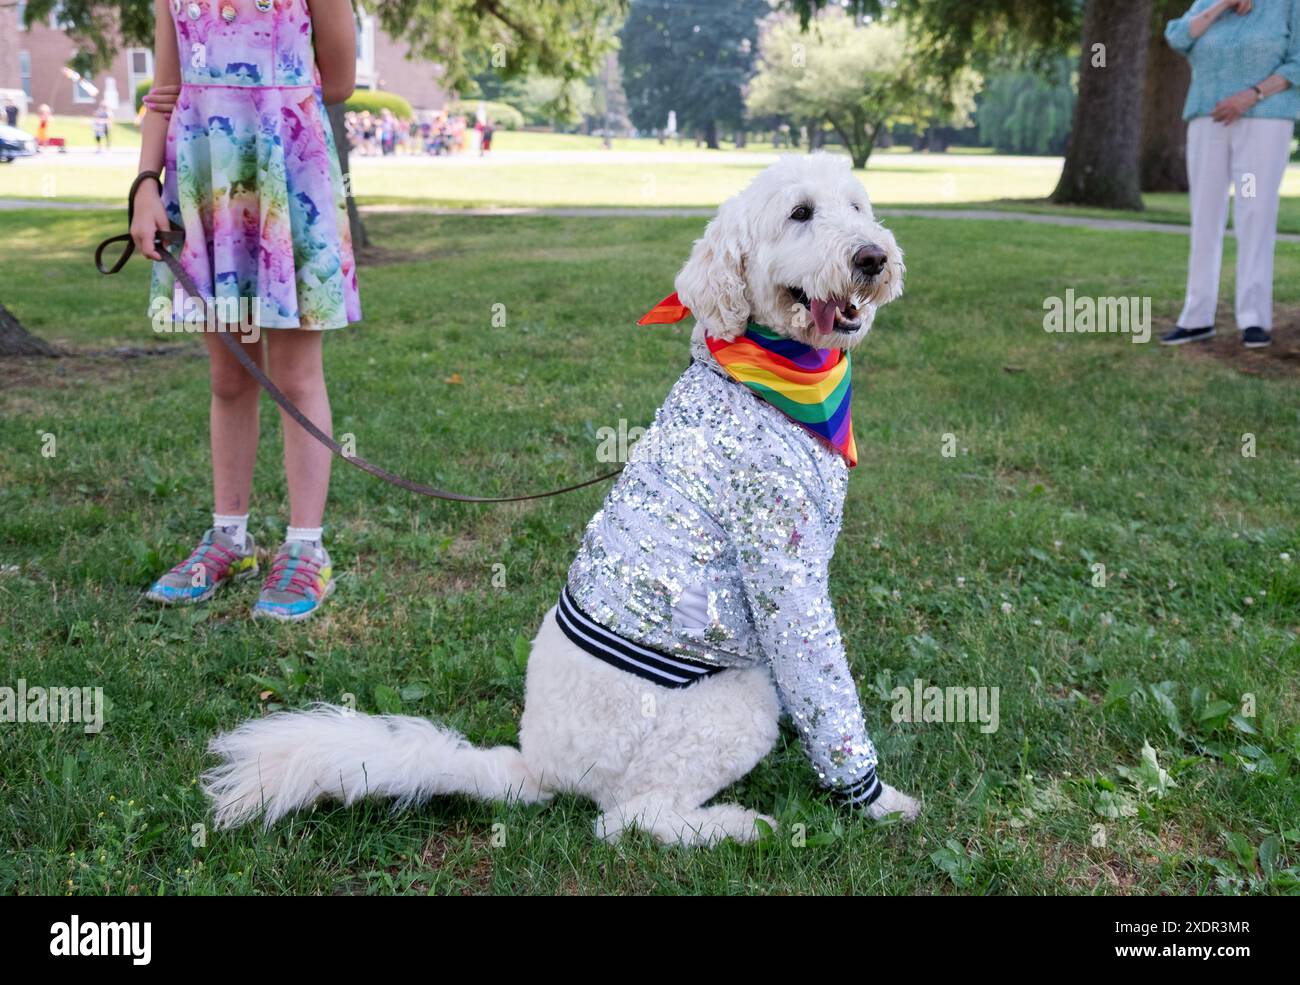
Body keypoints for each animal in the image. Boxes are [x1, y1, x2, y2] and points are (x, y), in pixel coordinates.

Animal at [202, 154, 915, 847]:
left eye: (857, 206)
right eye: (800, 213)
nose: (873, 257)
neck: (771, 379)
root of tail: (538, 765)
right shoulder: (785, 573)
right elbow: (828, 692)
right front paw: (877, 802)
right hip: (734, 702)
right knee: (629, 818)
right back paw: (735, 826)